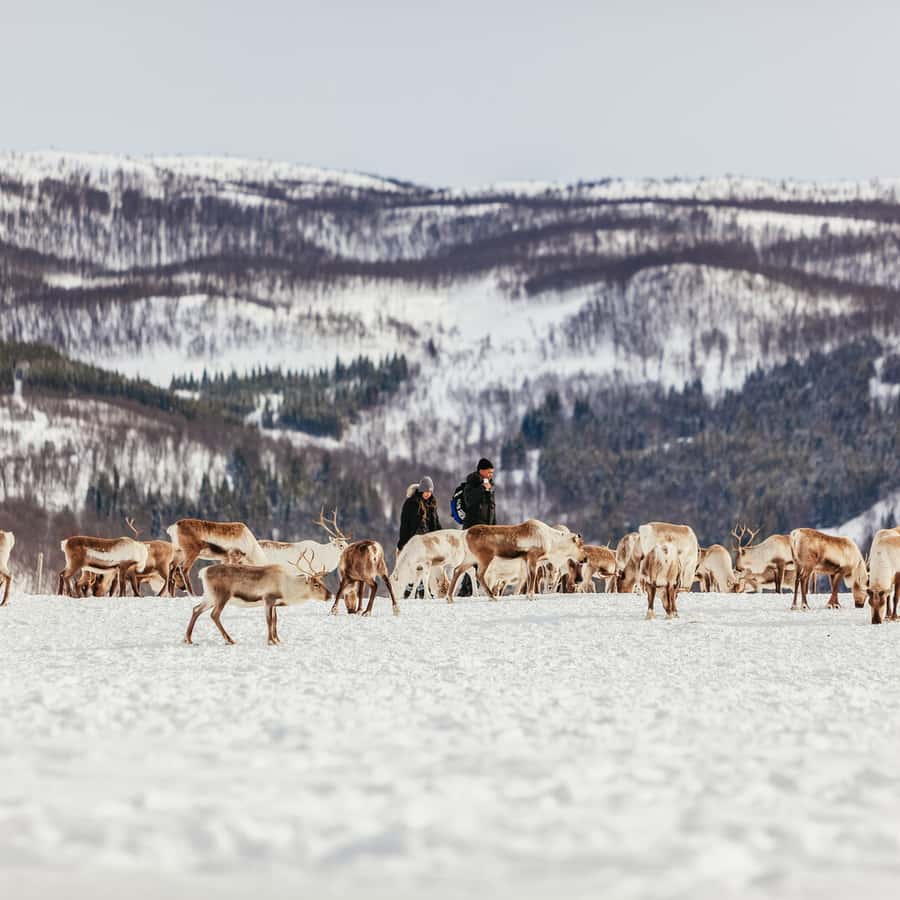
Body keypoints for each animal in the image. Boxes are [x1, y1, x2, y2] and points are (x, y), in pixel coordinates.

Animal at [184, 550, 333, 645]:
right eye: (316, 584)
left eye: (323, 582)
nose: (330, 595)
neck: (287, 587)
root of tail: (203, 572)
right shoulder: (268, 598)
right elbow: (269, 620)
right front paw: (271, 641)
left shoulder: (274, 603)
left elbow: (275, 621)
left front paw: (277, 639)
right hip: (222, 595)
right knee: (214, 614)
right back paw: (229, 640)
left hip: (209, 597)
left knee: (196, 609)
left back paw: (188, 639)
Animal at [447, 520, 586, 602]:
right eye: (580, 545)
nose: (584, 559)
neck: (552, 541)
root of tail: (464, 534)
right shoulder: (533, 556)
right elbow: (533, 576)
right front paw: (531, 596)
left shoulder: (527, 559)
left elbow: (529, 577)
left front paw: (528, 595)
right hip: (484, 557)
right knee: (479, 574)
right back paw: (492, 597)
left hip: (470, 558)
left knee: (457, 570)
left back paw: (450, 598)